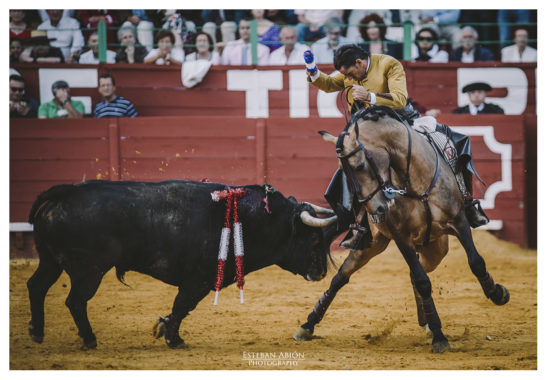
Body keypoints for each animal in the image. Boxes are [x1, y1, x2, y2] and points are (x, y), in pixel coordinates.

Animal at [28, 180, 342, 348]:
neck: (249, 219)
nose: (321, 272)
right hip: (88, 270)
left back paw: (37, 331)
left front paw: (165, 330)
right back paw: (89, 338)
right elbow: (182, 306)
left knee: (36, 286)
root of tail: (65, 193)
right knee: (75, 301)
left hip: (51, 262)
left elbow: (179, 308)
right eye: (314, 239)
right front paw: (172, 338)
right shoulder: (198, 280)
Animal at [296, 106, 510, 354]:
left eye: (360, 165)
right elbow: (423, 281)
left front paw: (498, 294)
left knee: (414, 272)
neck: (413, 179)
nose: (377, 209)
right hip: (372, 244)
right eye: (343, 172)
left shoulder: (458, 220)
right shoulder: (401, 237)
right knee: (341, 277)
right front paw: (439, 336)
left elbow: (476, 262)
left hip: (436, 248)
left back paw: (427, 321)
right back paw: (307, 325)